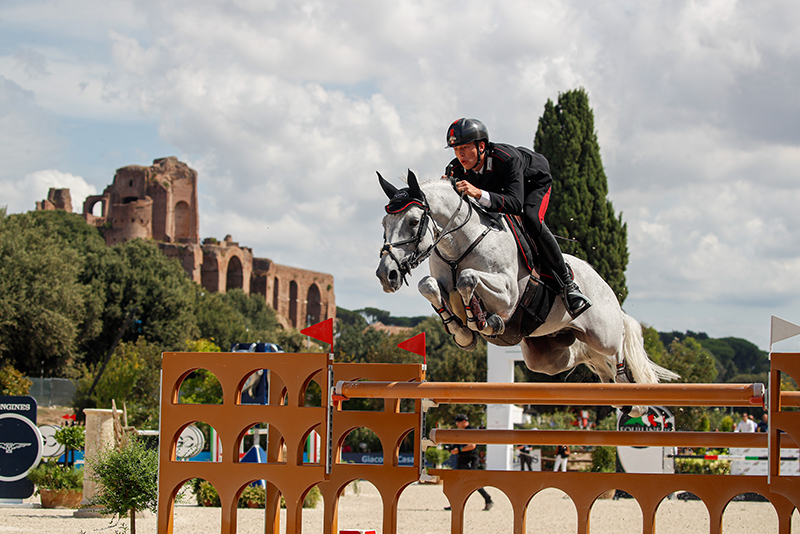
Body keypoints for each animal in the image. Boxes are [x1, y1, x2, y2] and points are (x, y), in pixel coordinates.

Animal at [378, 173, 680, 418]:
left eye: (413, 221)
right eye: (384, 223)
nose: (386, 274)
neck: (461, 244)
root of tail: (604, 284)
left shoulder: (508, 295)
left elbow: (468, 279)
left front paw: (482, 322)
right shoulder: (440, 282)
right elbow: (428, 285)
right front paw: (462, 331)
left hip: (602, 333)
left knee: (616, 345)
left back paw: (632, 396)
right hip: (547, 355)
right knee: (584, 356)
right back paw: (615, 392)